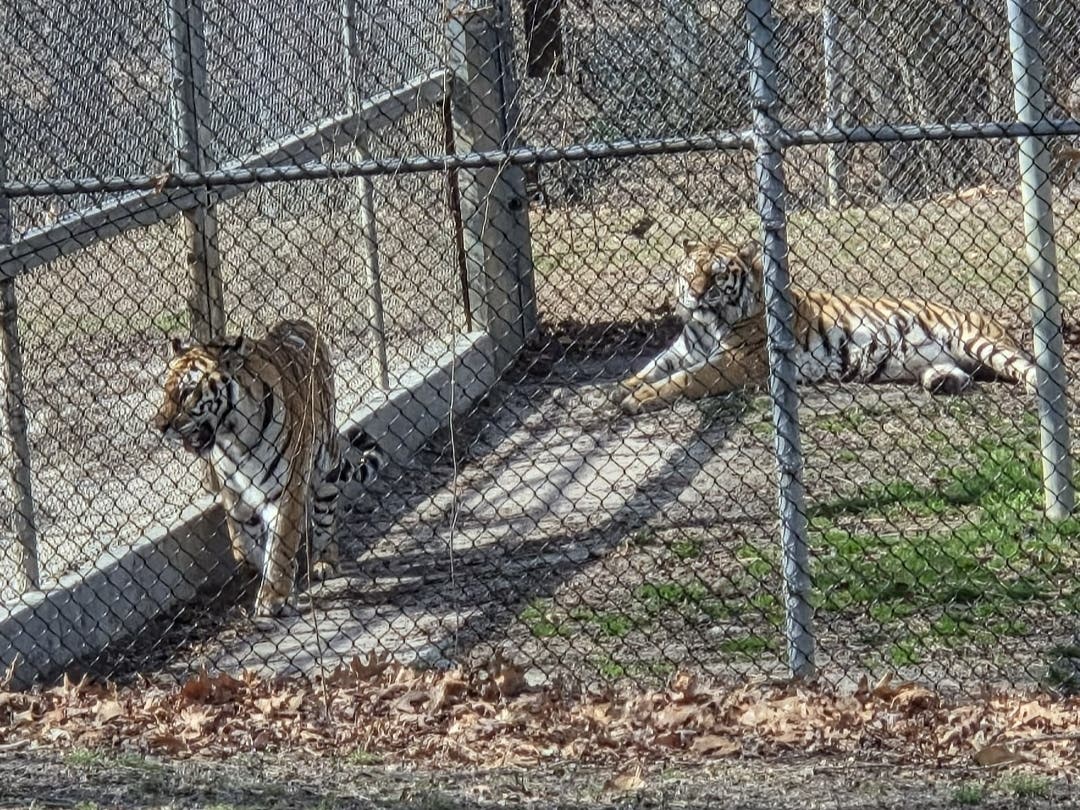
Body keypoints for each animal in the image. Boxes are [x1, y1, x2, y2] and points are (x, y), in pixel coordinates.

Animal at [153, 319, 385, 617]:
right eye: (165, 391)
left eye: (188, 391)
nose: (159, 426)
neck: (233, 438)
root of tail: (300, 322)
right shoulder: (235, 497)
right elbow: (245, 546)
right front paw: (268, 578)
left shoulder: (286, 490)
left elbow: (281, 544)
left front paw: (275, 596)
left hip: (325, 469)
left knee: (326, 516)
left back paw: (325, 561)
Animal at [615, 237, 1039, 414]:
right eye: (690, 272)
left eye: (717, 275)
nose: (695, 293)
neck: (708, 324)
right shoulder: (684, 348)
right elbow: (653, 367)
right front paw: (624, 388)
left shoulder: (739, 362)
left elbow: (687, 379)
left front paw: (638, 399)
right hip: (940, 359)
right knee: (959, 374)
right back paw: (943, 383)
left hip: (981, 342)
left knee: (1029, 367)